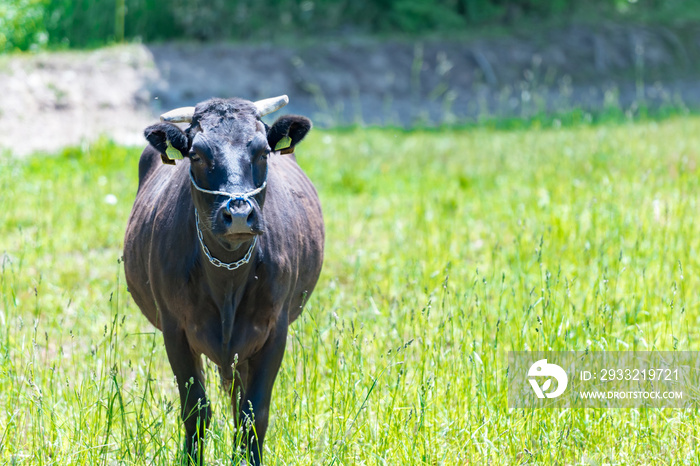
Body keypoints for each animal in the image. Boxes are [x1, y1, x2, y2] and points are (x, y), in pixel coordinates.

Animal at [123, 96, 326, 464]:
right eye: (197, 155)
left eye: (263, 152)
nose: (240, 214)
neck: (227, 277)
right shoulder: (175, 329)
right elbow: (196, 409)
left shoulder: (274, 329)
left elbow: (254, 413)